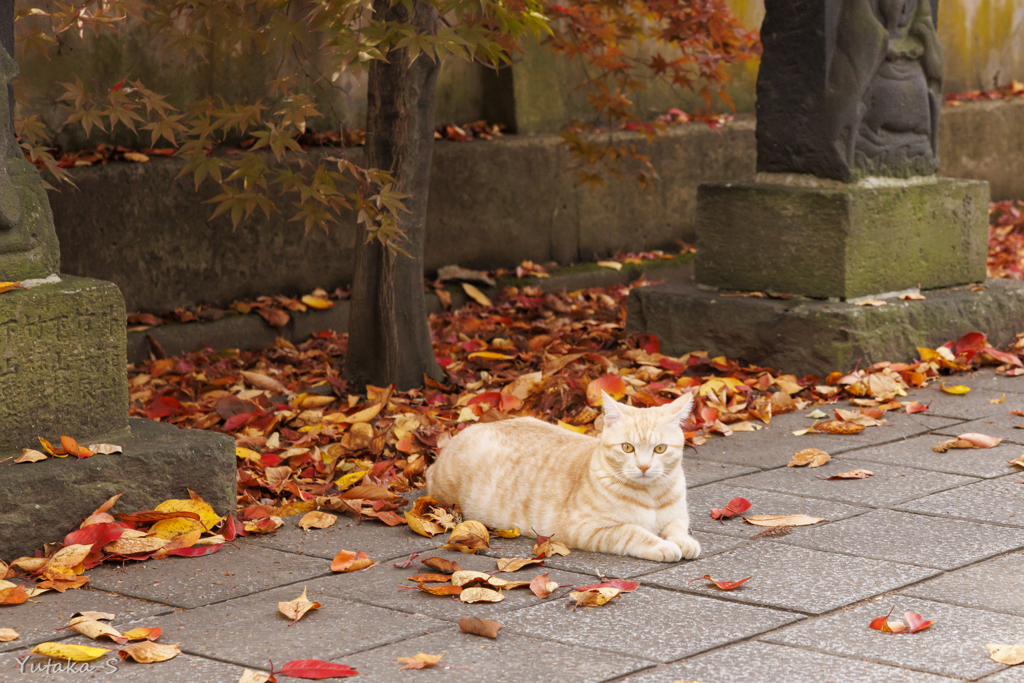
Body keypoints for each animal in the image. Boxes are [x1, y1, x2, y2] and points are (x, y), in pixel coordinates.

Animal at [421, 393, 696, 565]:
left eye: (660, 449)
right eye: (627, 448)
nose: (644, 466)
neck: (650, 495)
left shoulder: (677, 517)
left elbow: (677, 528)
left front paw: (684, 542)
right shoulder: (590, 529)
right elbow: (634, 532)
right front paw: (662, 546)